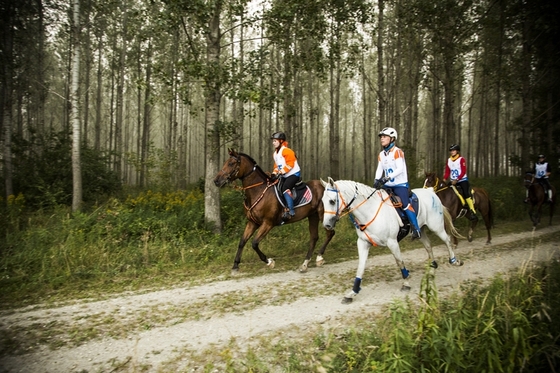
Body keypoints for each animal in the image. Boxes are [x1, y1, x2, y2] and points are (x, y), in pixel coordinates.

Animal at [320, 177, 464, 302]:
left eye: (332, 201)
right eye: (322, 201)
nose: (327, 225)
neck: (369, 211)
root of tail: (431, 192)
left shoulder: (392, 242)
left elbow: (399, 262)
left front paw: (406, 283)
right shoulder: (363, 243)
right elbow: (360, 267)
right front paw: (352, 292)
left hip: (436, 227)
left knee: (447, 240)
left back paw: (454, 260)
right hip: (421, 230)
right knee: (428, 246)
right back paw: (433, 267)